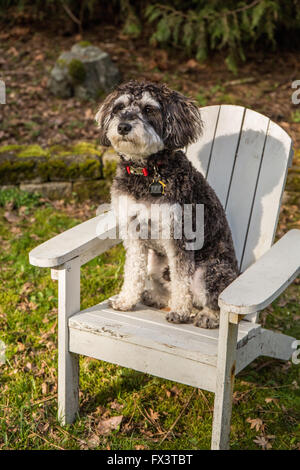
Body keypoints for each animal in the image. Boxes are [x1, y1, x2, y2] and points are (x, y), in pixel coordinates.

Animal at [95, 80, 238, 326]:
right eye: (119, 107)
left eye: (148, 109)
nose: (123, 126)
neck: (147, 172)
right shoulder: (133, 233)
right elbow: (133, 270)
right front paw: (126, 300)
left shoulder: (180, 236)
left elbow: (182, 279)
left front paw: (180, 312)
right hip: (157, 262)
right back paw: (155, 297)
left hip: (208, 272)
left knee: (213, 300)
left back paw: (207, 316)